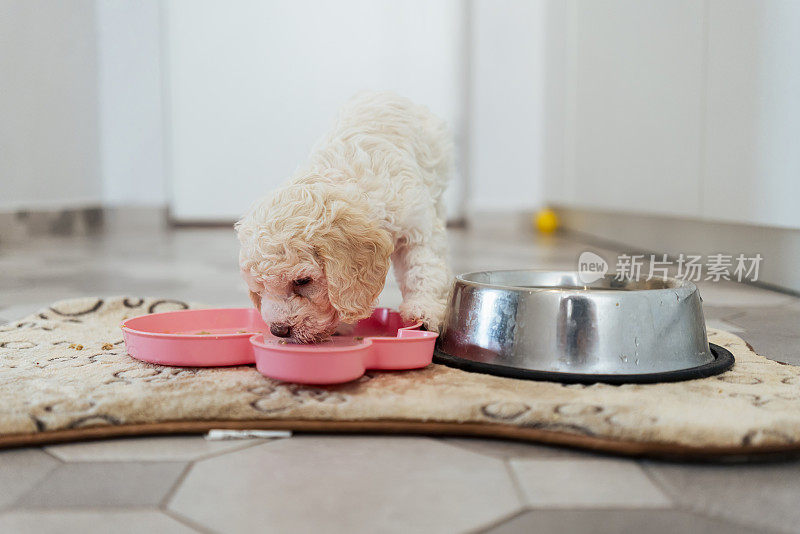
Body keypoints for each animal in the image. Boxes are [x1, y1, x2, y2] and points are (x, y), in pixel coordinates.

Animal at [234, 91, 454, 344]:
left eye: (302, 281)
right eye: (260, 288)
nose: (279, 330)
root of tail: (383, 93)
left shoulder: (418, 227)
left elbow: (423, 269)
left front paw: (424, 310)